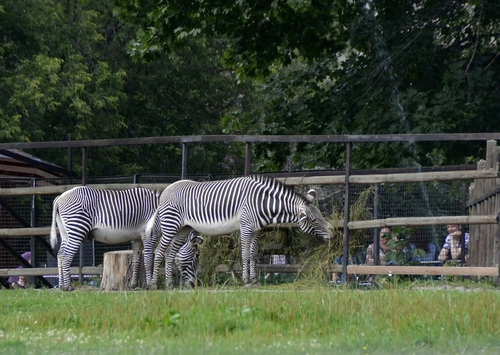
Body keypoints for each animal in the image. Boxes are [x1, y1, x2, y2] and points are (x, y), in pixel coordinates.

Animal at [146, 175, 334, 290]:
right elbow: (244, 255)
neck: (261, 202)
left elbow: (253, 255)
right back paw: (154, 285)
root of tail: (165, 191)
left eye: (321, 215)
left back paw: (170, 285)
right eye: (314, 220)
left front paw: (255, 281)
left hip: (183, 229)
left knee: (170, 253)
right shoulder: (246, 227)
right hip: (171, 225)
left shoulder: (256, 230)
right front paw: (246, 281)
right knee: (159, 252)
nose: (332, 234)